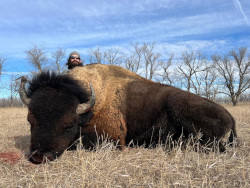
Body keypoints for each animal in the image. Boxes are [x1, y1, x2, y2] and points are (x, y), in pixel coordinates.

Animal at [19, 63, 236, 163]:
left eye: (69, 124)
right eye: (30, 121)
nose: (39, 157)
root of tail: (230, 117)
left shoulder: (112, 138)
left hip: (178, 103)